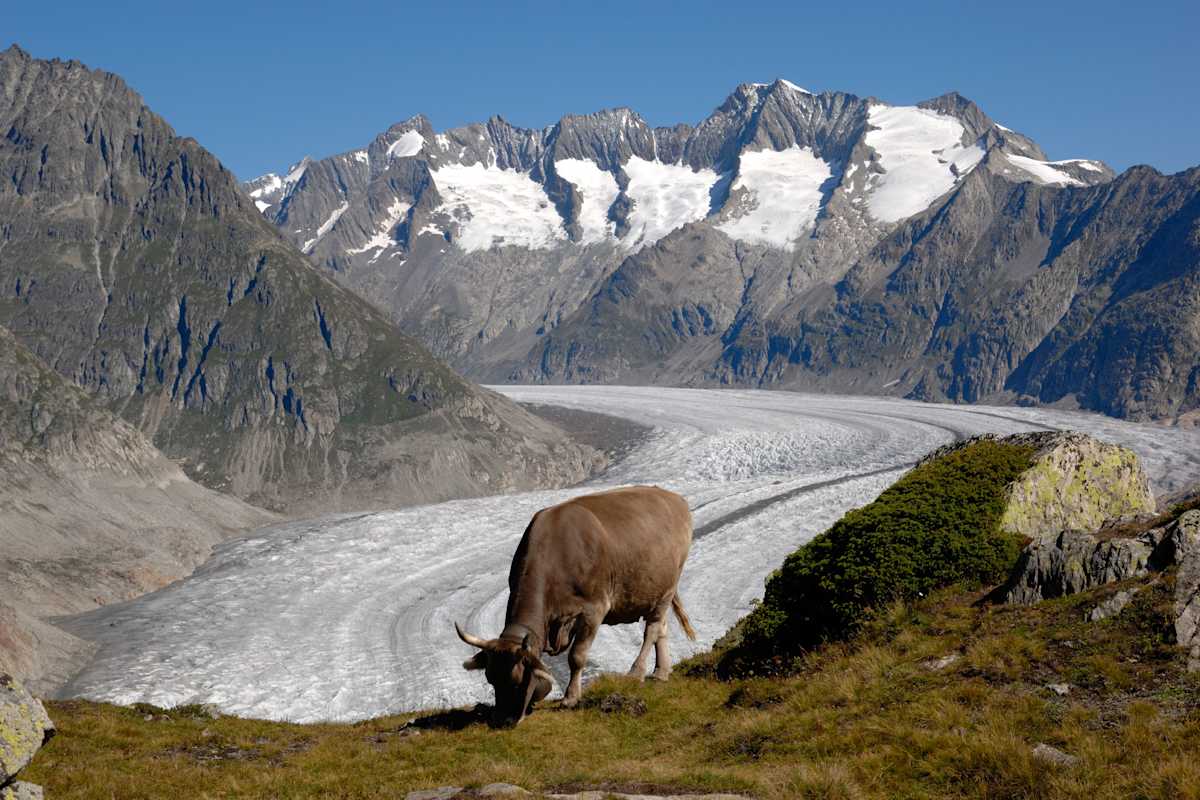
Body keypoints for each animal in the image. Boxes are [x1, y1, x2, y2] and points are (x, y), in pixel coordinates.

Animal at [455, 485, 696, 727]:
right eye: (491, 679)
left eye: (516, 681)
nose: (502, 720)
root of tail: (673, 498)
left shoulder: (594, 609)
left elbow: (577, 656)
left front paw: (570, 697)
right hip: (657, 592)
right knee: (662, 628)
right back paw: (661, 672)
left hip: (668, 587)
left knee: (652, 630)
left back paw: (636, 672)